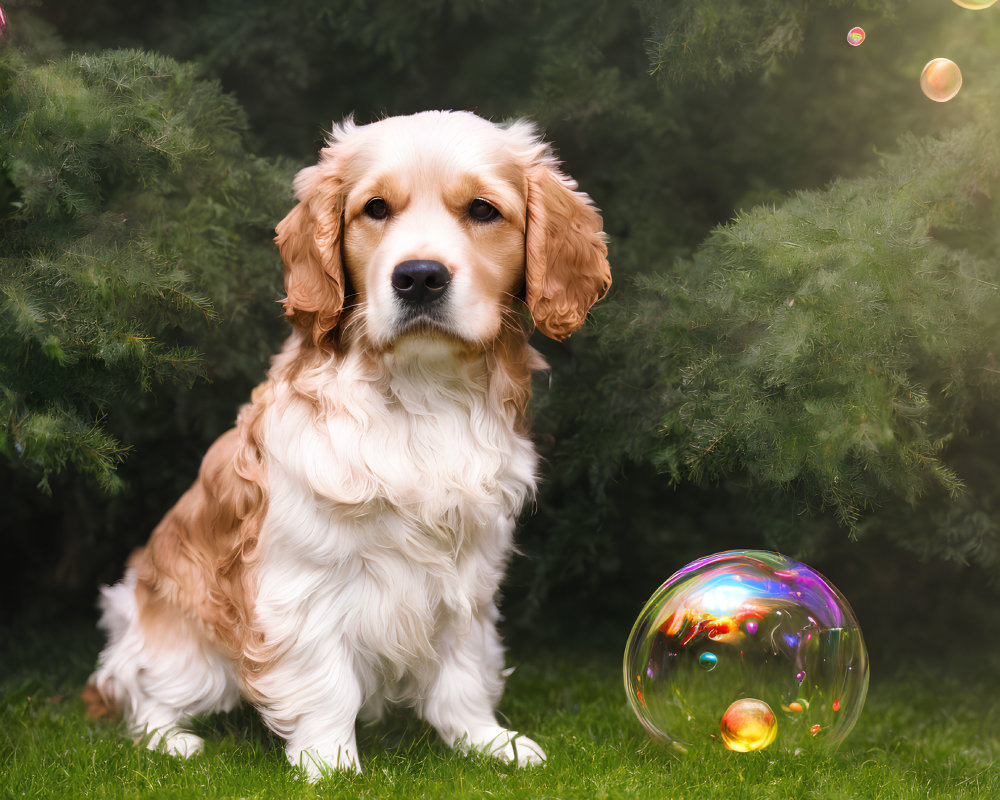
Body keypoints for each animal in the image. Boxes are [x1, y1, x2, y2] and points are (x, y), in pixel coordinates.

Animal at [84, 109, 608, 780]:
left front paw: (489, 741)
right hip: (186, 644)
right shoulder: (303, 582)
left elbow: (464, 673)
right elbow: (326, 682)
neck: (422, 393)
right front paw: (330, 762)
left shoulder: (467, 572)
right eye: (375, 208)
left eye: (484, 210)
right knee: (140, 690)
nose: (418, 277)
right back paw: (172, 740)